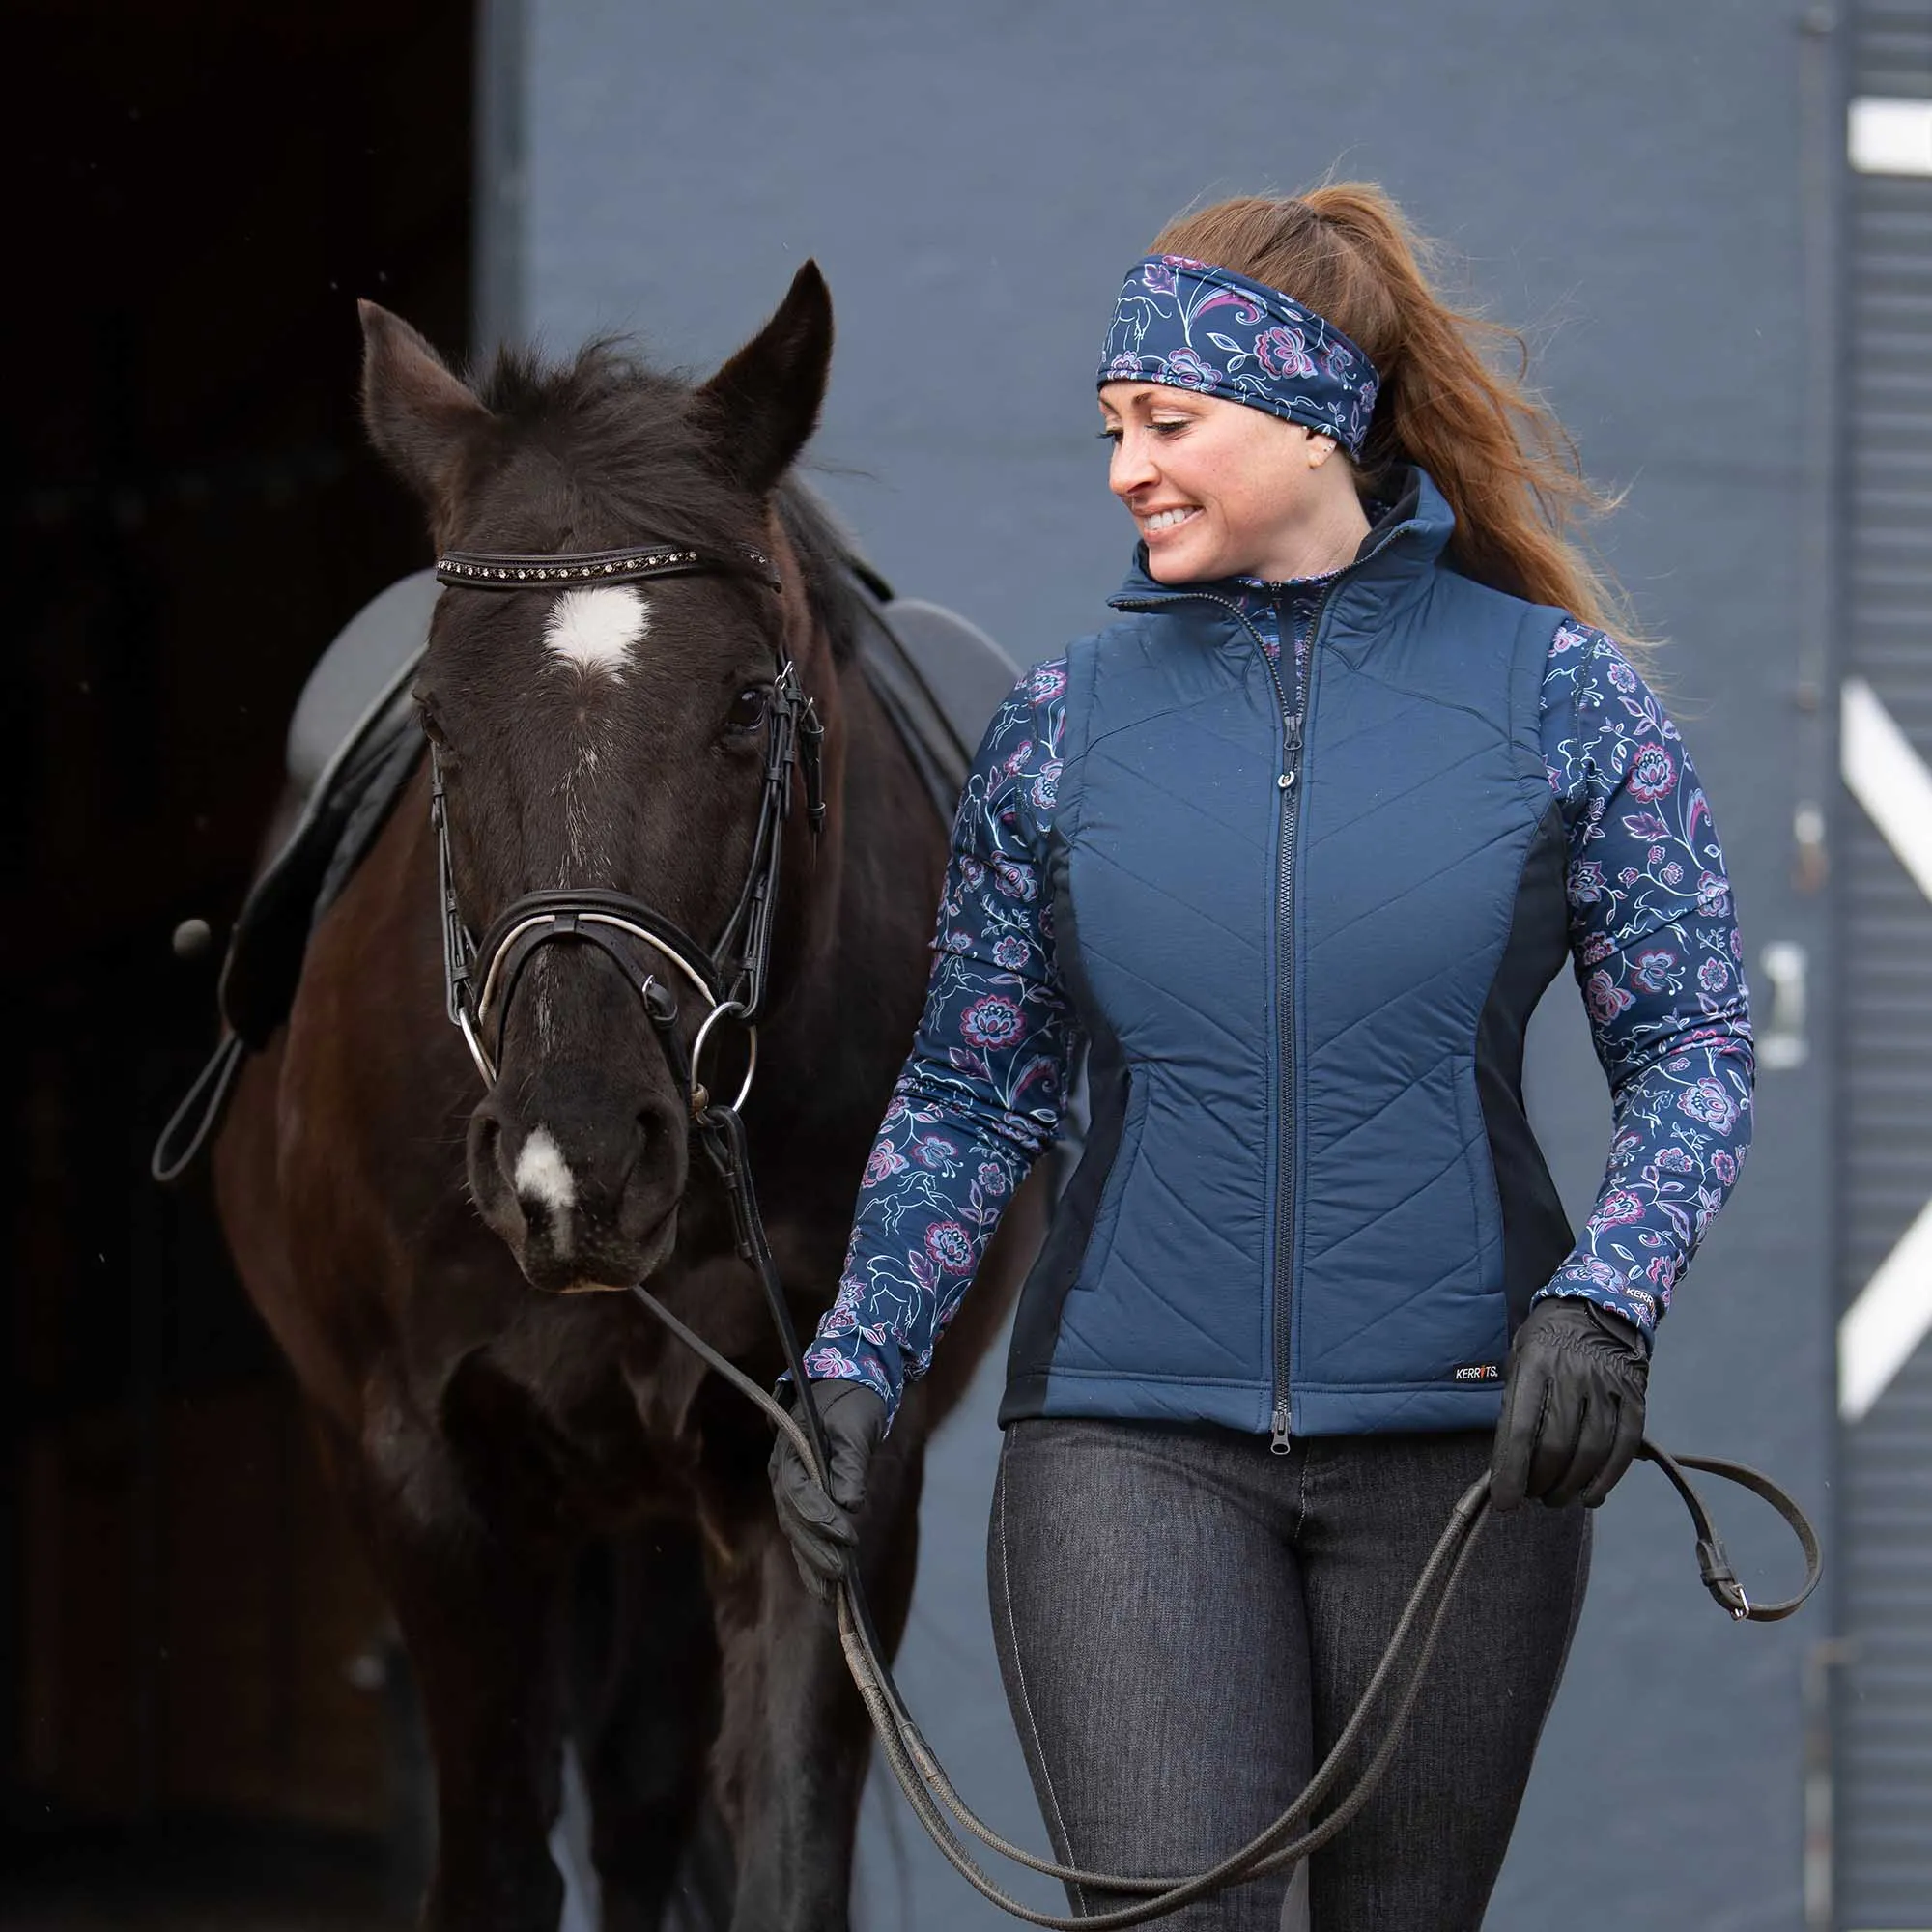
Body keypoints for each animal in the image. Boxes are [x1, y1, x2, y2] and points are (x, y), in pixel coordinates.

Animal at [212, 269, 1036, 1932]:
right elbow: (495, 1864)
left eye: (743, 710)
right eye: (441, 722)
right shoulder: (427, 1482)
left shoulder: (822, 1473)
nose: (575, 1162)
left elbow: (778, 1855)